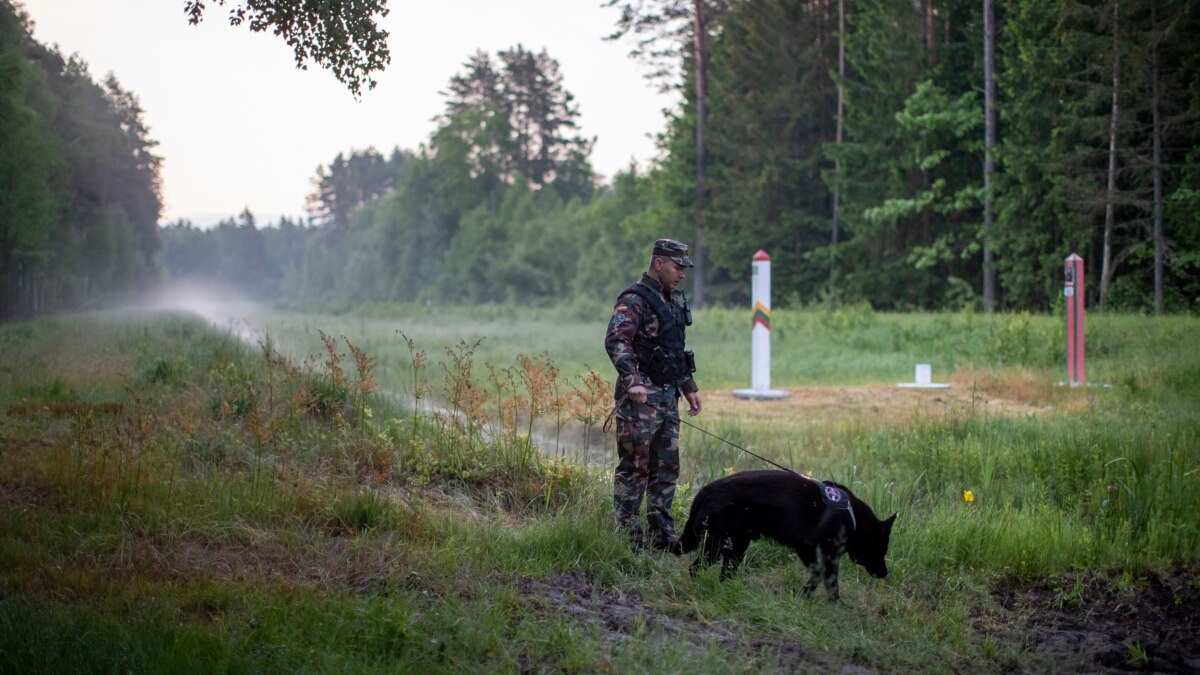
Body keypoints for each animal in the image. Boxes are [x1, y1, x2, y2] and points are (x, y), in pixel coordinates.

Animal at [681, 468, 897, 598]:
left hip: (734, 546)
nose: (885, 573)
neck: (854, 519)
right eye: (883, 548)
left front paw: (805, 596)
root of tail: (707, 489)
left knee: (718, 571)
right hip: (718, 546)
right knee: (697, 568)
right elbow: (829, 581)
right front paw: (833, 604)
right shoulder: (825, 556)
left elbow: (818, 575)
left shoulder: (808, 551)